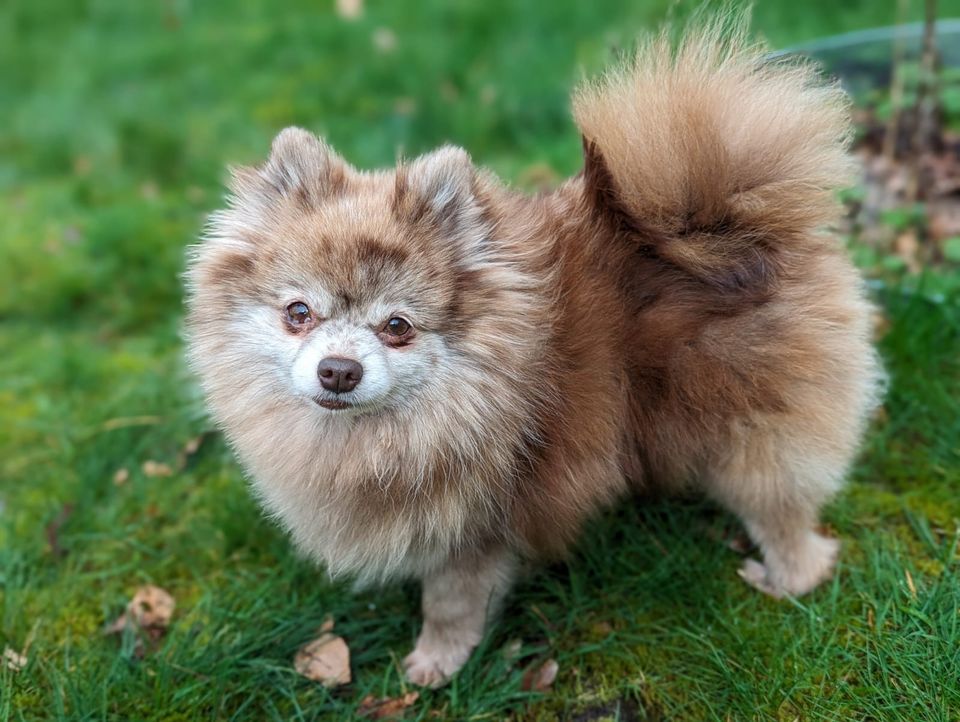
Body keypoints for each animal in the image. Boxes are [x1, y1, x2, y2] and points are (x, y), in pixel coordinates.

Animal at [184, 16, 880, 688]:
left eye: (398, 326)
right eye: (299, 313)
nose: (339, 370)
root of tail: (744, 224)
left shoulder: (472, 535)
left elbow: (451, 605)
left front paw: (436, 663)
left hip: (753, 433)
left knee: (783, 510)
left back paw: (786, 578)